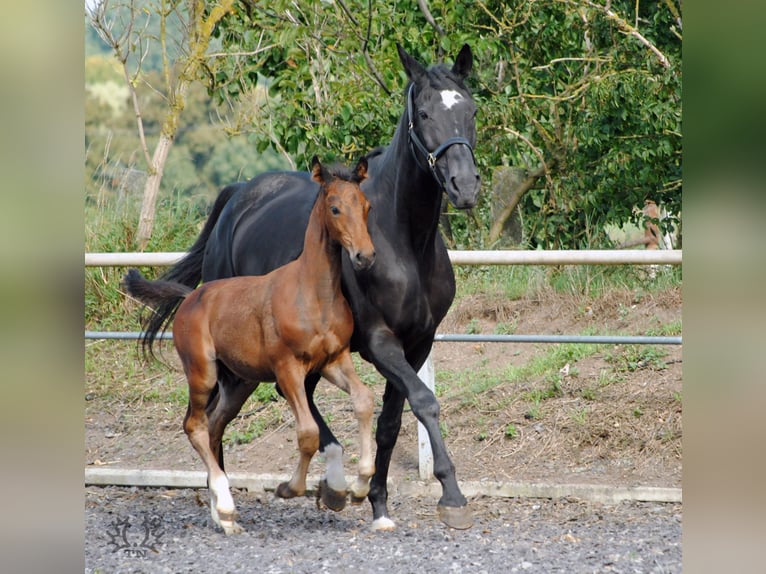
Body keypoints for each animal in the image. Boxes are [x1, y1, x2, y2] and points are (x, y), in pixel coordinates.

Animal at [124, 157, 376, 535]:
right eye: (335, 208)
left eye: (365, 206)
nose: (365, 256)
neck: (313, 293)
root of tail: (190, 297)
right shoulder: (288, 368)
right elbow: (308, 433)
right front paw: (290, 488)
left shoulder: (334, 360)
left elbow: (363, 400)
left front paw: (359, 487)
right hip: (202, 373)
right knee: (194, 426)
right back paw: (226, 508)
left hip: (239, 382)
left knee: (214, 425)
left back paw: (222, 514)